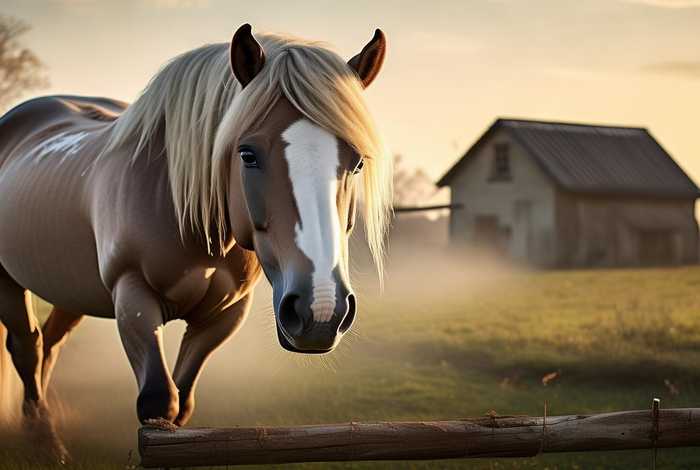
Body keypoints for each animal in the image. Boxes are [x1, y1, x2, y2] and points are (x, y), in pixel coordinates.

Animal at [0, 24, 391, 458]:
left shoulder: (224, 314)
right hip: (9, 281)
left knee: (51, 343)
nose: (319, 311)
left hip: (71, 290)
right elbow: (159, 400)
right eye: (247, 154)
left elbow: (181, 404)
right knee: (28, 348)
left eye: (357, 162)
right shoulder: (132, 294)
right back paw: (45, 445)